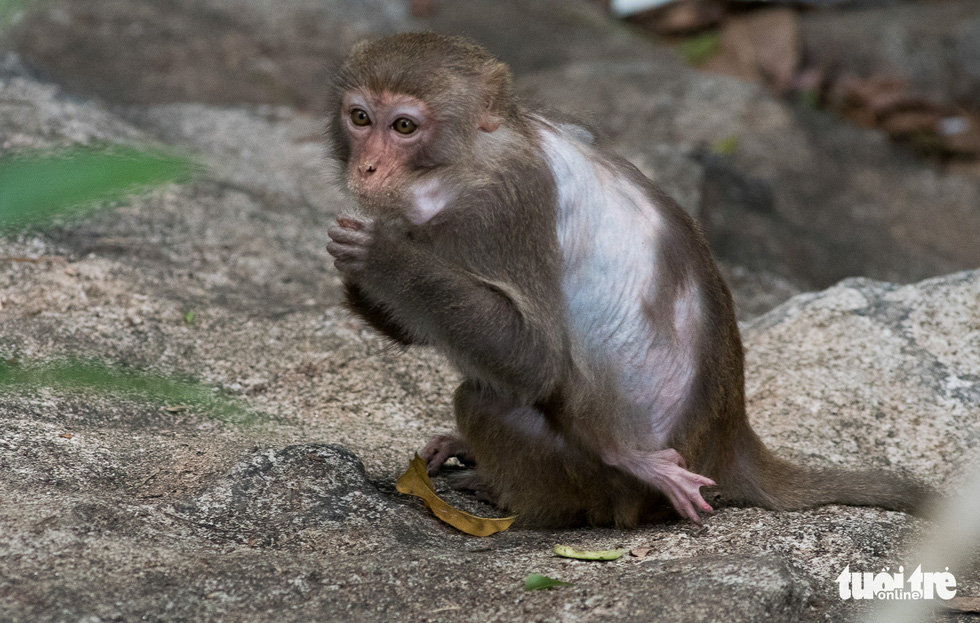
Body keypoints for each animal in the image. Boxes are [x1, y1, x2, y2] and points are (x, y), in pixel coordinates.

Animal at [326, 29, 932, 528]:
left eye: (404, 126)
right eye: (361, 118)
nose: (367, 169)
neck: (476, 153)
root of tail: (730, 444)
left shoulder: (503, 212)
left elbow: (532, 358)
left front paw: (383, 256)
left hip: (598, 484)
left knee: (486, 399)